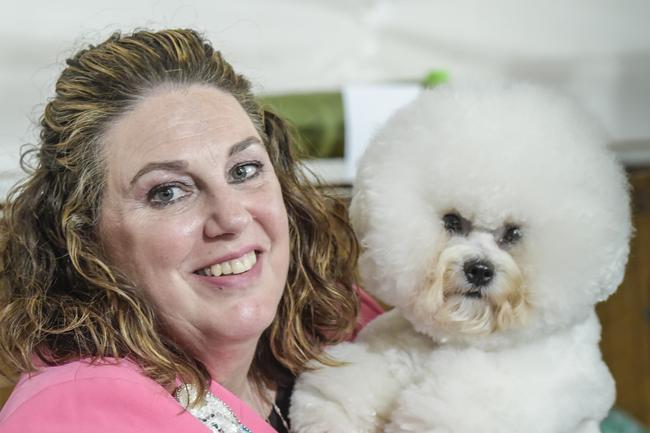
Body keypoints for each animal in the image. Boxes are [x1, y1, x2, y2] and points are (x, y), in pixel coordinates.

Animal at [292, 82, 632, 432]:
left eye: (513, 233)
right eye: (453, 221)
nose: (479, 270)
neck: (458, 336)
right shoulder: (391, 350)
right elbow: (350, 386)